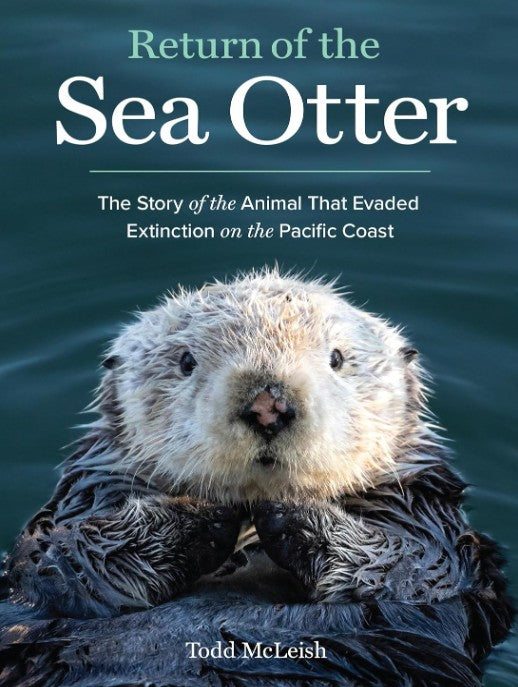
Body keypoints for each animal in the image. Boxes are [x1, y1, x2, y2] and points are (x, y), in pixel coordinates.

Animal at [0, 269, 513, 686]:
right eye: (185, 361)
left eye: (337, 358)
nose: (269, 406)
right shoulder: (77, 511)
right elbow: (63, 558)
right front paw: (202, 515)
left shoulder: (435, 531)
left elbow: (408, 568)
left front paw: (288, 510)